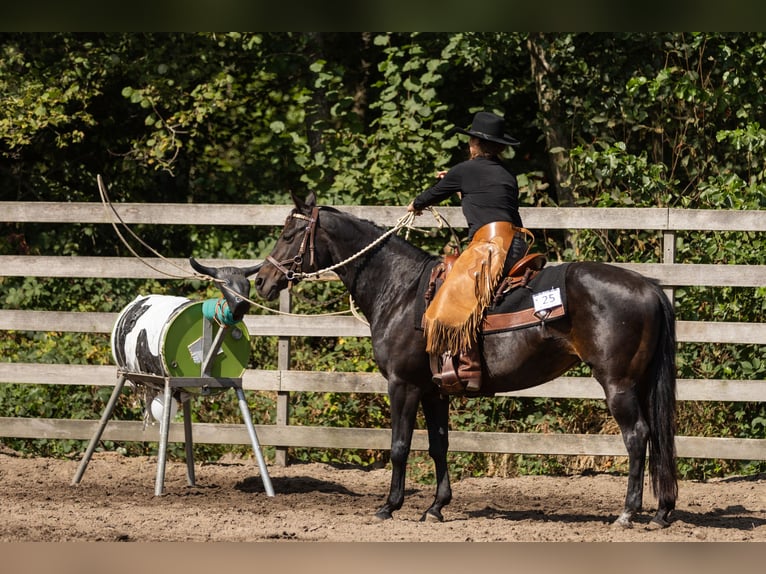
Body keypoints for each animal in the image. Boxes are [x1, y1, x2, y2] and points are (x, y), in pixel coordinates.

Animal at [254, 191, 678, 529]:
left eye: (289, 234)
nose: (261, 280)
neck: (401, 289)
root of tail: (650, 288)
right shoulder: (434, 391)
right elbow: (439, 445)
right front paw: (436, 507)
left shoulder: (403, 385)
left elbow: (399, 445)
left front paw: (389, 506)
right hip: (639, 384)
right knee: (657, 436)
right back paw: (661, 512)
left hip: (617, 384)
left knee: (637, 436)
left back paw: (627, 513)